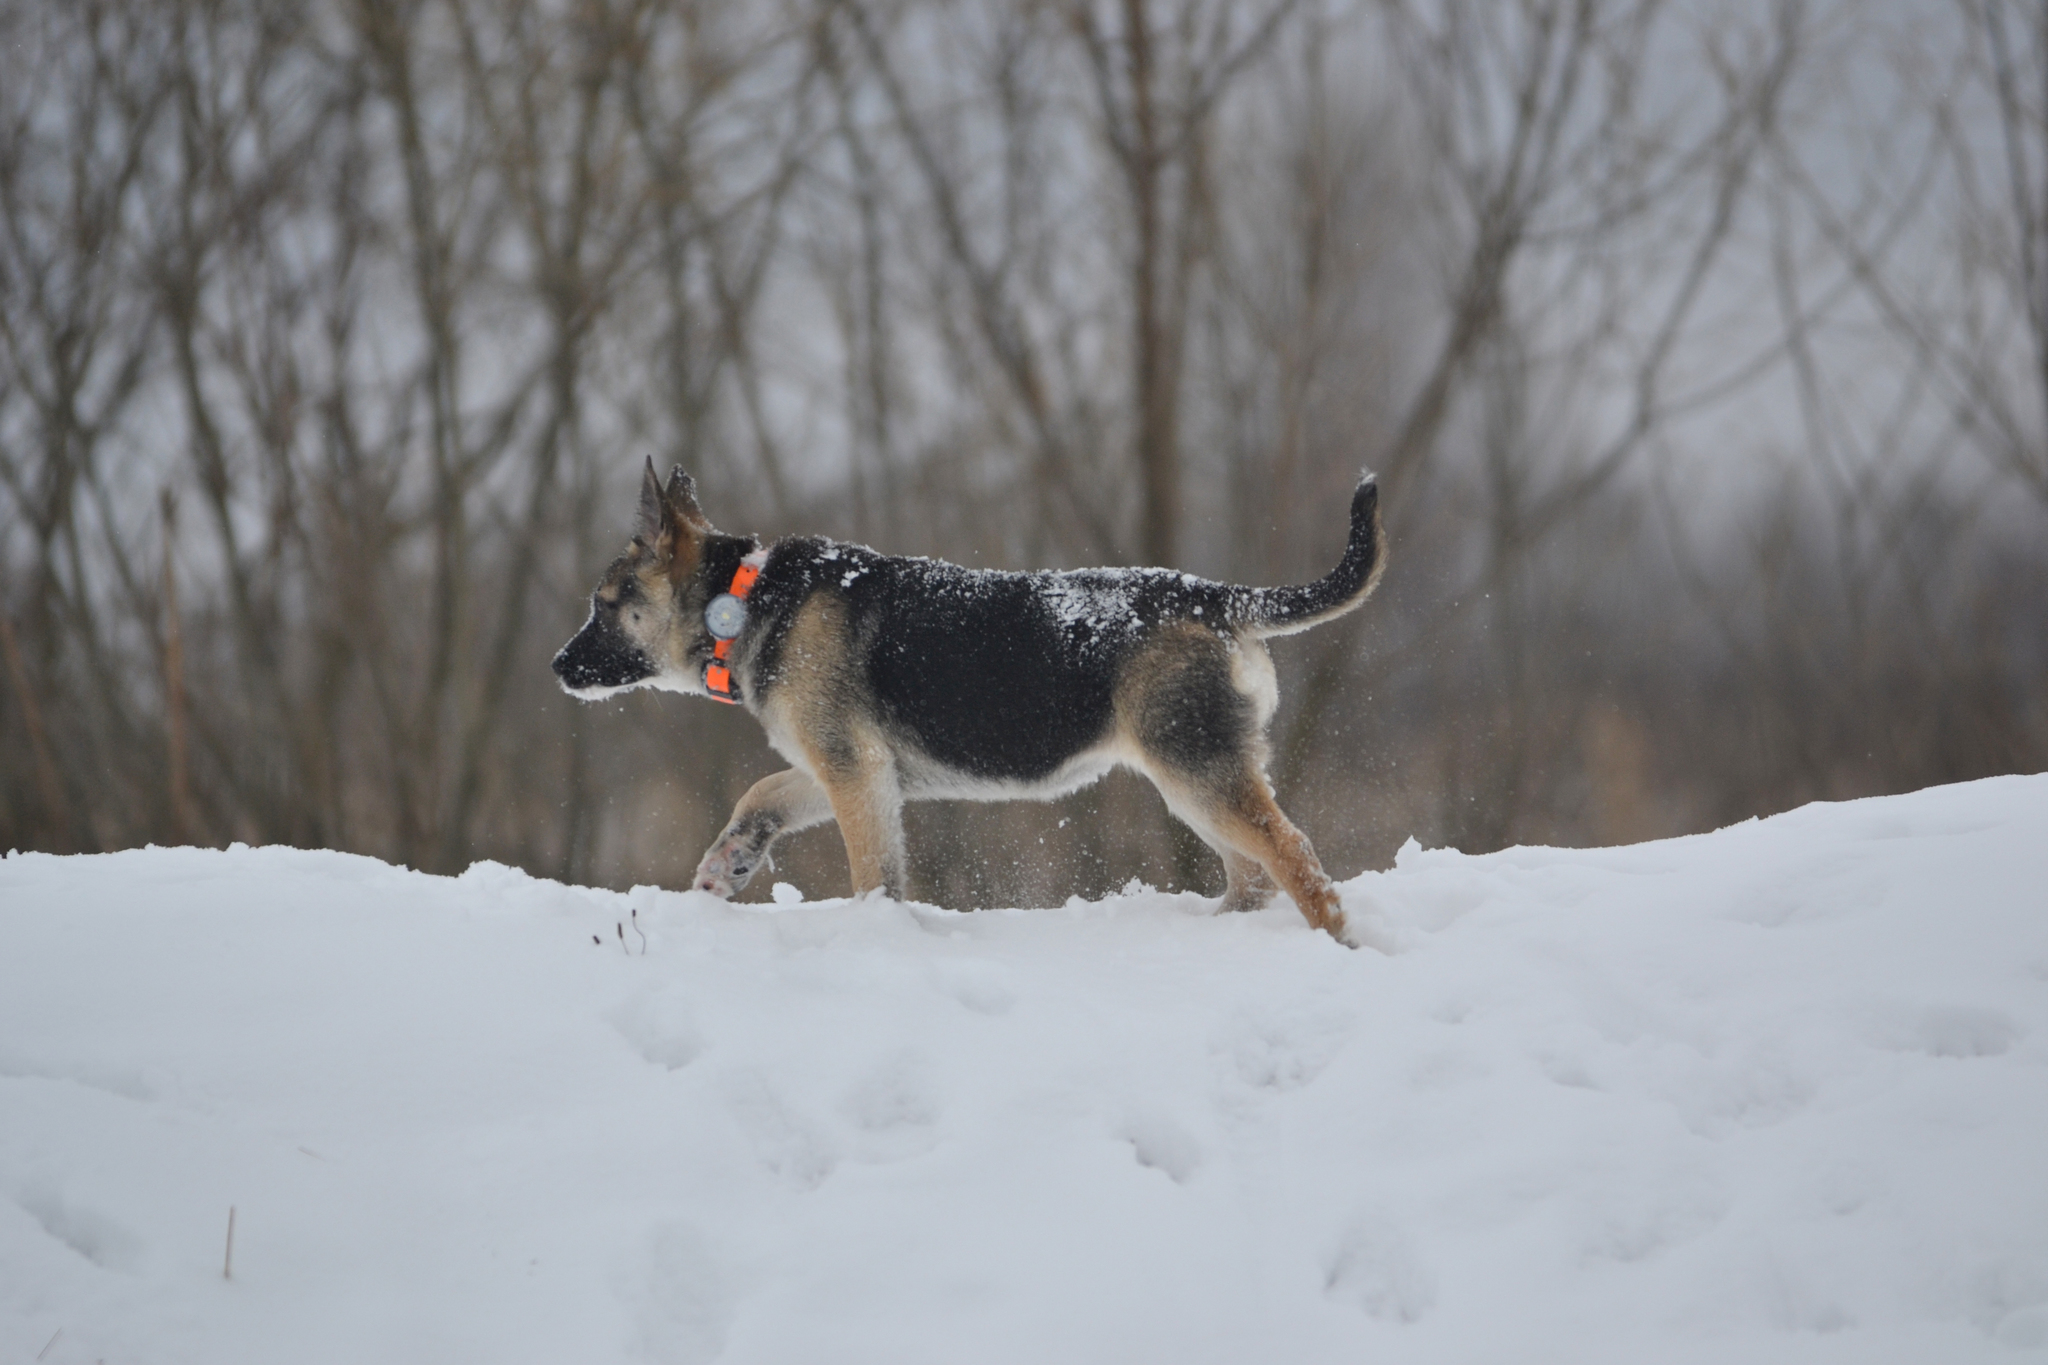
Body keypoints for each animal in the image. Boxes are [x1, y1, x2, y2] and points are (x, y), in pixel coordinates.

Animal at [552, 458, 1384, 941]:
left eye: (603, 605)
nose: (558, 665)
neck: (748, 595)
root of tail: (1217, 596)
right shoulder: (853, 770)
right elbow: (761, 794)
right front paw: (731, 860)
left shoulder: (853, 773)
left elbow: (873, 874)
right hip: (1193, 775)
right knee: (1254, 874)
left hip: (1196, 771)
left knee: (1295, 857)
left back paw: (1337, 940)